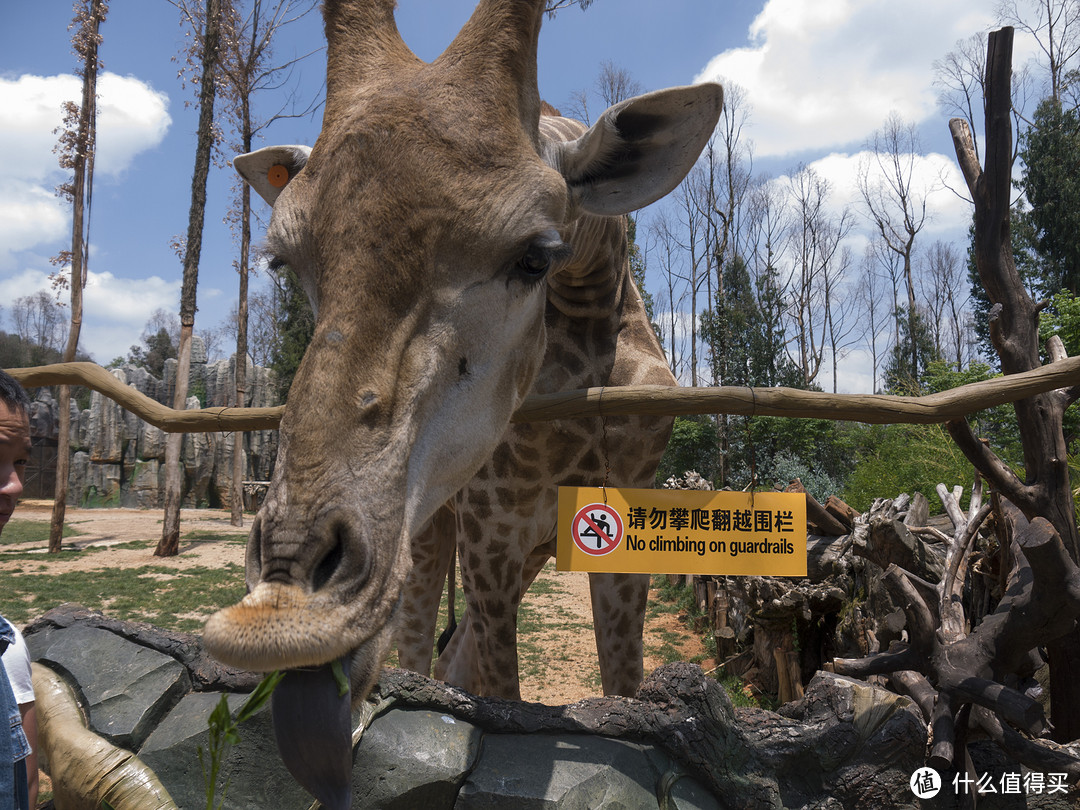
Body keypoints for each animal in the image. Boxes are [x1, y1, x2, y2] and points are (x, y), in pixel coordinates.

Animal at [397, 109, 678, 704]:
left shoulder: (615, 517)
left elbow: (623, 672)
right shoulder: (491, 521)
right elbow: (505, 688)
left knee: (450, 655)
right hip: (432, 521)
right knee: (412, 633)